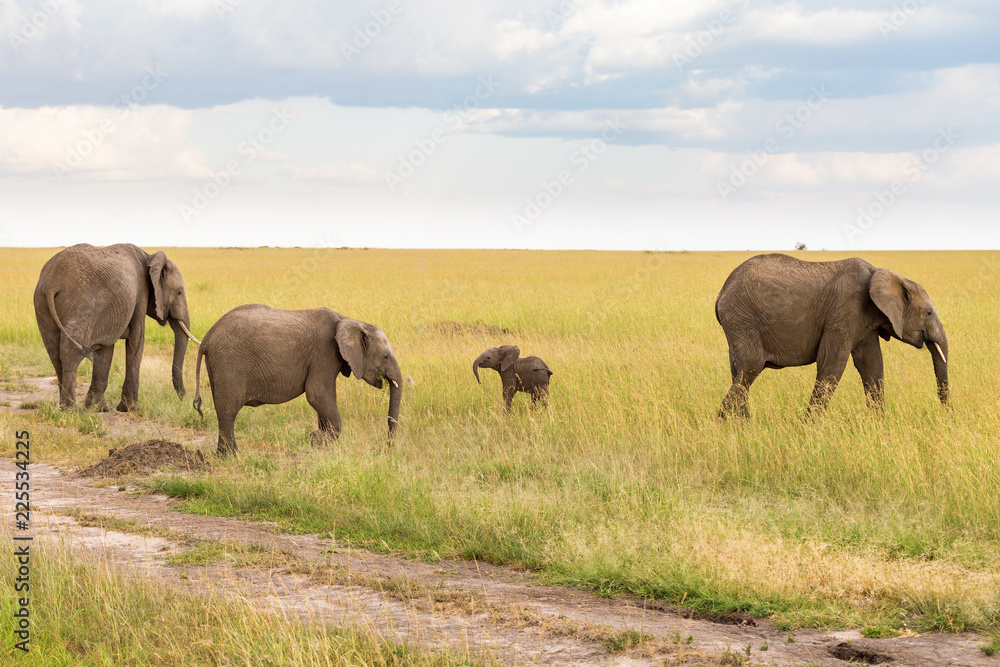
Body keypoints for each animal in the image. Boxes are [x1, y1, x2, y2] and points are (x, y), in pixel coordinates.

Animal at [32, 245, 199, 412]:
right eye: (179, 292)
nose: (185, 401)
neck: (149, 256)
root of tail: (52, 281)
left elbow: (106, 348)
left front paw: (98, 408)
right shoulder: (140, 293)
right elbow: (136, 340)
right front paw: (131, 409)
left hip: (41, 305)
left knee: (54, 353)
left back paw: (64, 408)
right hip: (80, 306)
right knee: (70, 352)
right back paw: (71, 410)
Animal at [192, 306, 402, 456]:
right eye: (385, 357)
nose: (388, 448)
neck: (348, 320)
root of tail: (207, 337)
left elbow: (323, 400)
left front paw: (320, 441)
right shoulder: (324, 354)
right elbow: (317, 394)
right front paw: (316, 440)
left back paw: (223, 455)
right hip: (229, 363)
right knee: (228, 411)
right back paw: (233, 456)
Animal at [716, 254, 948, 418]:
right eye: (928, 313)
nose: (945, 412)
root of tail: (721, 293)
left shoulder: (864, 322)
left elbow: (872, 364)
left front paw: (879, 424)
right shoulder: (844, 311)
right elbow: (832, 362)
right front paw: (809, 428)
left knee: (739, 372)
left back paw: (742, 425)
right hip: (742, 318)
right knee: (751, 366)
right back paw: (723, 423)